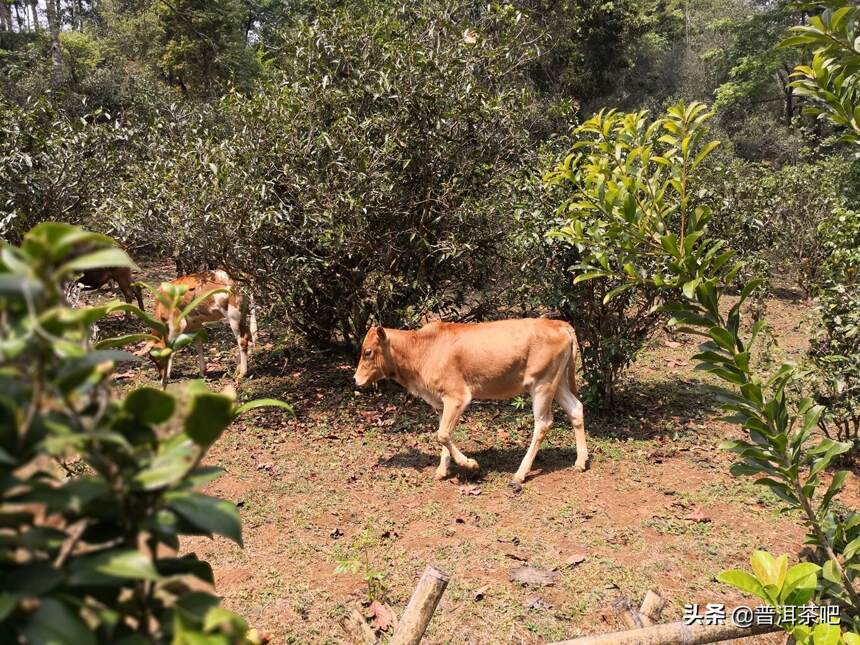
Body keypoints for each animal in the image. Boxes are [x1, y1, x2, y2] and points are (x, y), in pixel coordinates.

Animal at [352, 316, 588, 488]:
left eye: (368, 352)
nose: (355, 379)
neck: (421, 349)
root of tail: (558, 323)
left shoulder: (458, 397)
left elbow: (442, 434)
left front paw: (471, 465)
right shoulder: (441, 403)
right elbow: (443, 434)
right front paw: (442, 470)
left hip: (542, 384)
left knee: (543, 423)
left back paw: (520, 474)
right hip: (557, 382)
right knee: (575, 408)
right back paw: (580, 462)